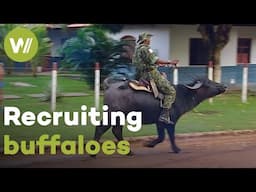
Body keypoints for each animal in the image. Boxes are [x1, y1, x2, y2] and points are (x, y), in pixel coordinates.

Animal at [93, 76, 226, 153]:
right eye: (208, 83)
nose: (223, 86)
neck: (183, 94)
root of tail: (110, 86)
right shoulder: (170, 121)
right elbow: (169, 136)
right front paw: (175, 149)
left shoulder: (159, 122)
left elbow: (162, 136)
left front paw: (150, 144)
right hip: (113, 115)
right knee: (102, 129)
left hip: (119, 117)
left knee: (116, 131)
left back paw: (128, 151)